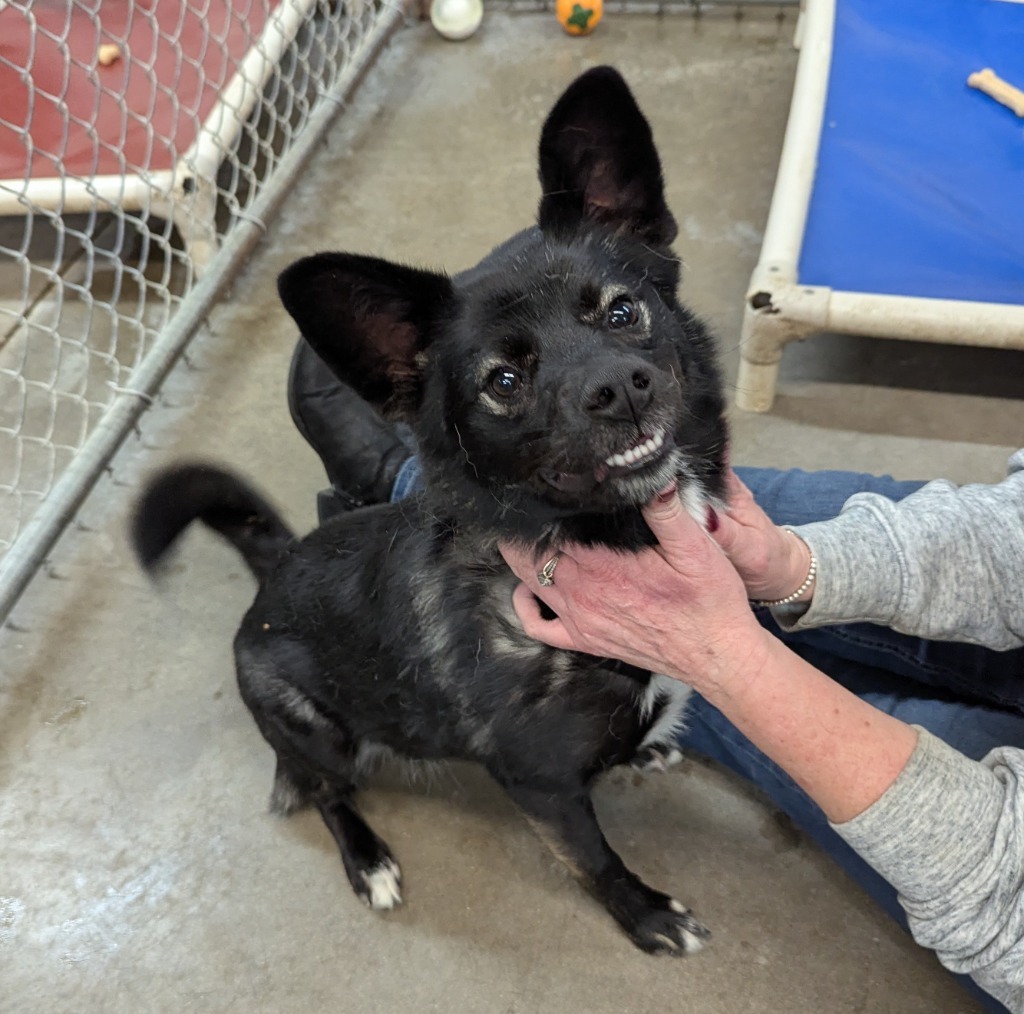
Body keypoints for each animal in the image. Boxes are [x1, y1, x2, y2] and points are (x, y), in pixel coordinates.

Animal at [132, 67, 729, 954]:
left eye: (622, 311)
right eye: (502, 381)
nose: (619, 389)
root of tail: (272, 575)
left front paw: (644, 751)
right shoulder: (541, 784)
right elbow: (595, 860)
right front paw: (646, 912)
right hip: (318, 730)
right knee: (321, 790)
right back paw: (367, 858)